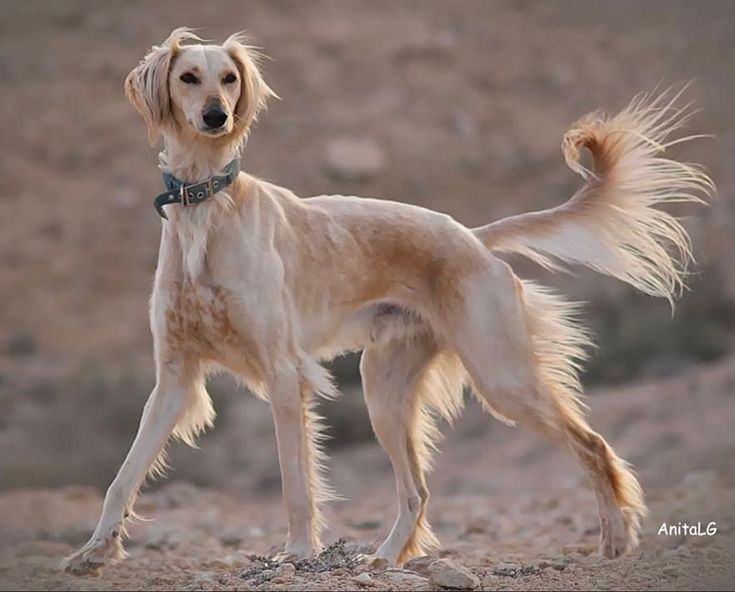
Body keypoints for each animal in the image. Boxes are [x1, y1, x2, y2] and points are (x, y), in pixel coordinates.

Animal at [61, 26, 712, 572]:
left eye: (229, 78)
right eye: (188, 77)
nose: (217, 117)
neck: (207, 205)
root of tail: (474, 238)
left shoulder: (282, 374)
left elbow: (295, 484)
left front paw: (299, 555)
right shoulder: (175, 376)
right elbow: (124, 475)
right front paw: (94, 551)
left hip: (500, 376)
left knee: (592, 444)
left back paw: (616, 539)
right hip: (385, 390)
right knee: (417, 490)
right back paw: (385, 558)